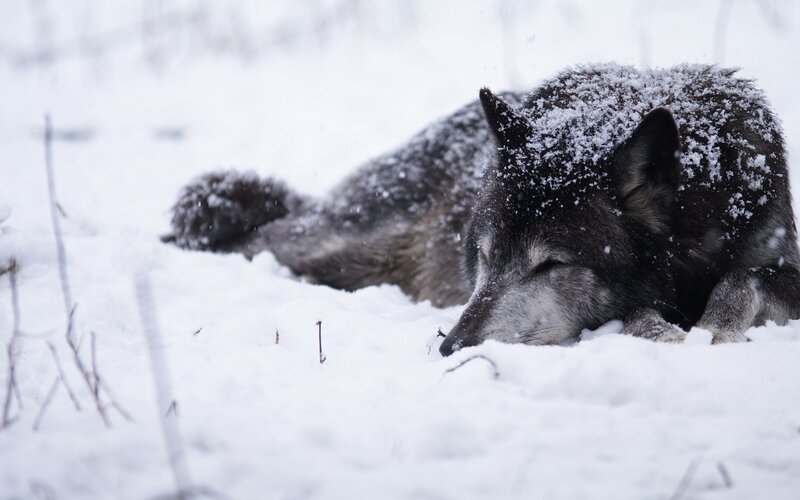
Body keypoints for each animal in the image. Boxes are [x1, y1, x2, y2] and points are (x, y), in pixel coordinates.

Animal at [165, 64, 800, 356]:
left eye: (551, 265)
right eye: (486, 257)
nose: (450, 348)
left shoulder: (776, 258)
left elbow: (745, 277)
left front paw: (713, 326)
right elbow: (644, 312)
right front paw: (668, 331)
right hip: (337, 242)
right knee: (252, 239)